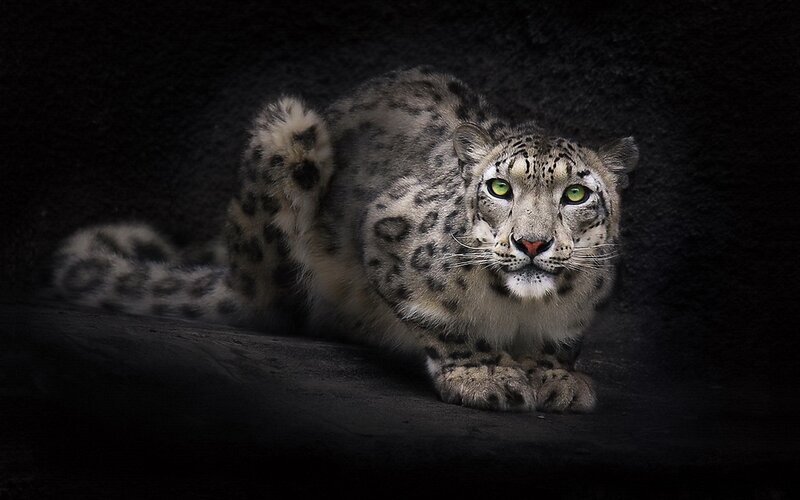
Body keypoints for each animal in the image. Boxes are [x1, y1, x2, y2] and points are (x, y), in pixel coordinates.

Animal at [52, 67, 639, 412]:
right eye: (499, 186)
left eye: (576, 194)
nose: (531, 244)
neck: (521, 310)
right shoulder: (387, 230)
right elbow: (442, 321)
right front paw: (486, 375)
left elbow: (560, 341)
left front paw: (555, 378)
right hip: (288, 135)